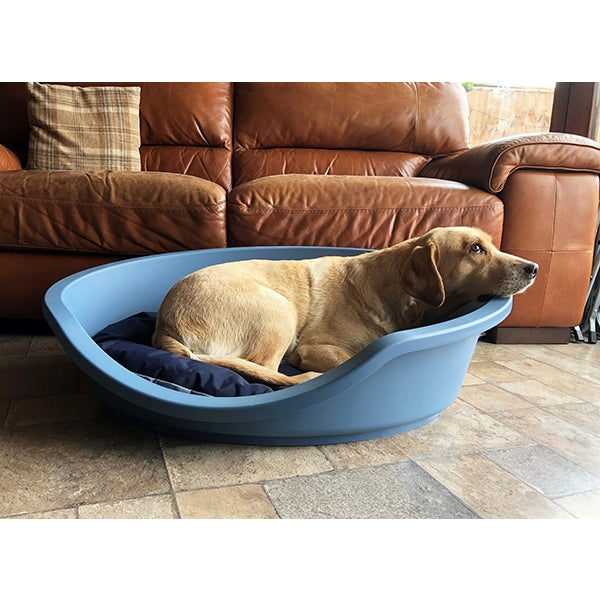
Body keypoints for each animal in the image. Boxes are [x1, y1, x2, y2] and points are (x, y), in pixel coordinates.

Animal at [152, 227, 536, 386]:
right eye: (475, 249)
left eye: (491, 244)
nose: (533, 267)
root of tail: (163, 327)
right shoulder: (313, 347)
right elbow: (348, 359)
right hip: (277, 309)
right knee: (268, 372)